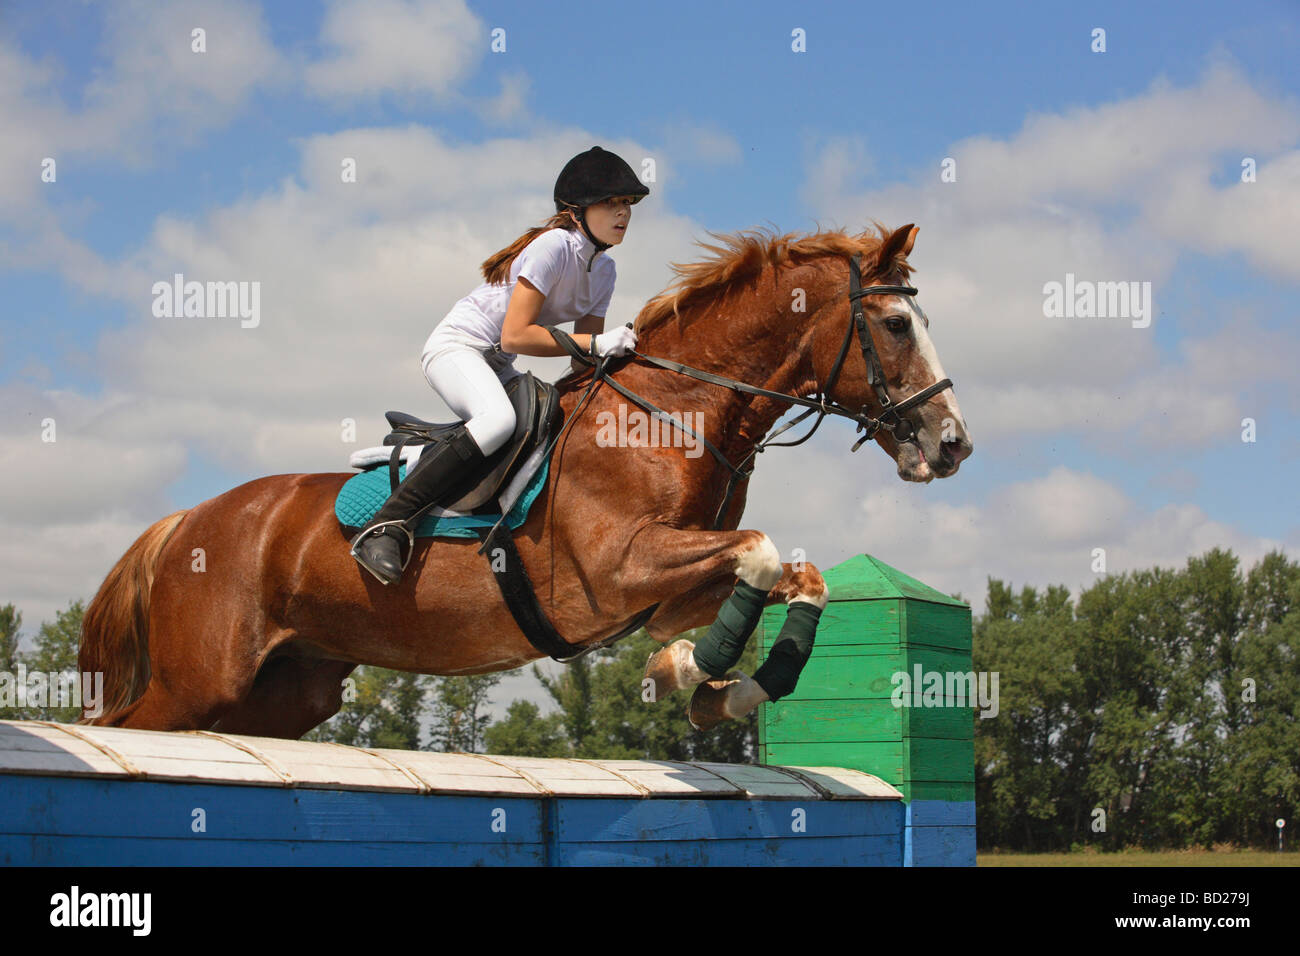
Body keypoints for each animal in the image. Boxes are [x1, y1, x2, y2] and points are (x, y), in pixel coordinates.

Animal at [77, 222, 973, 738]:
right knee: (132, 724)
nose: (953, 444)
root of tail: (186, 522)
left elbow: (797, 575)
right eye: (897, 324)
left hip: (286, 692)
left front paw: (705, 683)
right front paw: (691, 673)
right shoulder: (619, 568)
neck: (672, 414)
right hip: (201, 680)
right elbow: (757, 550)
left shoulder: (668, 588)